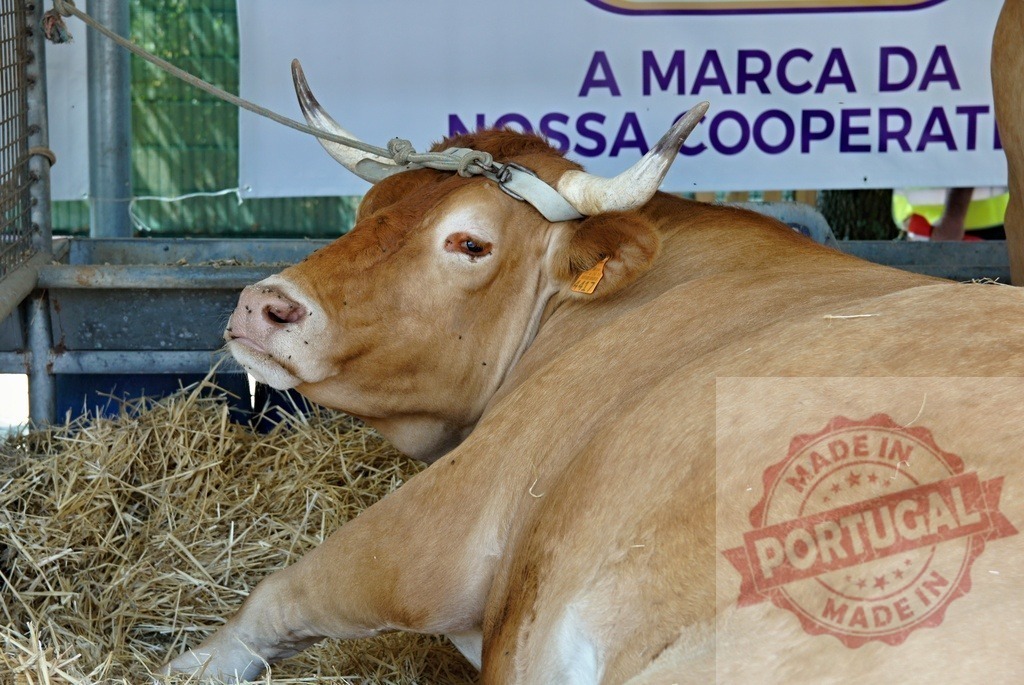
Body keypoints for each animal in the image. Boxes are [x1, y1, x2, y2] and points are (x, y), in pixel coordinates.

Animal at [163, 60, 1024, 683]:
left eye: (470, 242)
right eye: (371, 208)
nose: (265, 305)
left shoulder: (453, 512)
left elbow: (282, 591)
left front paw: (185, 665)